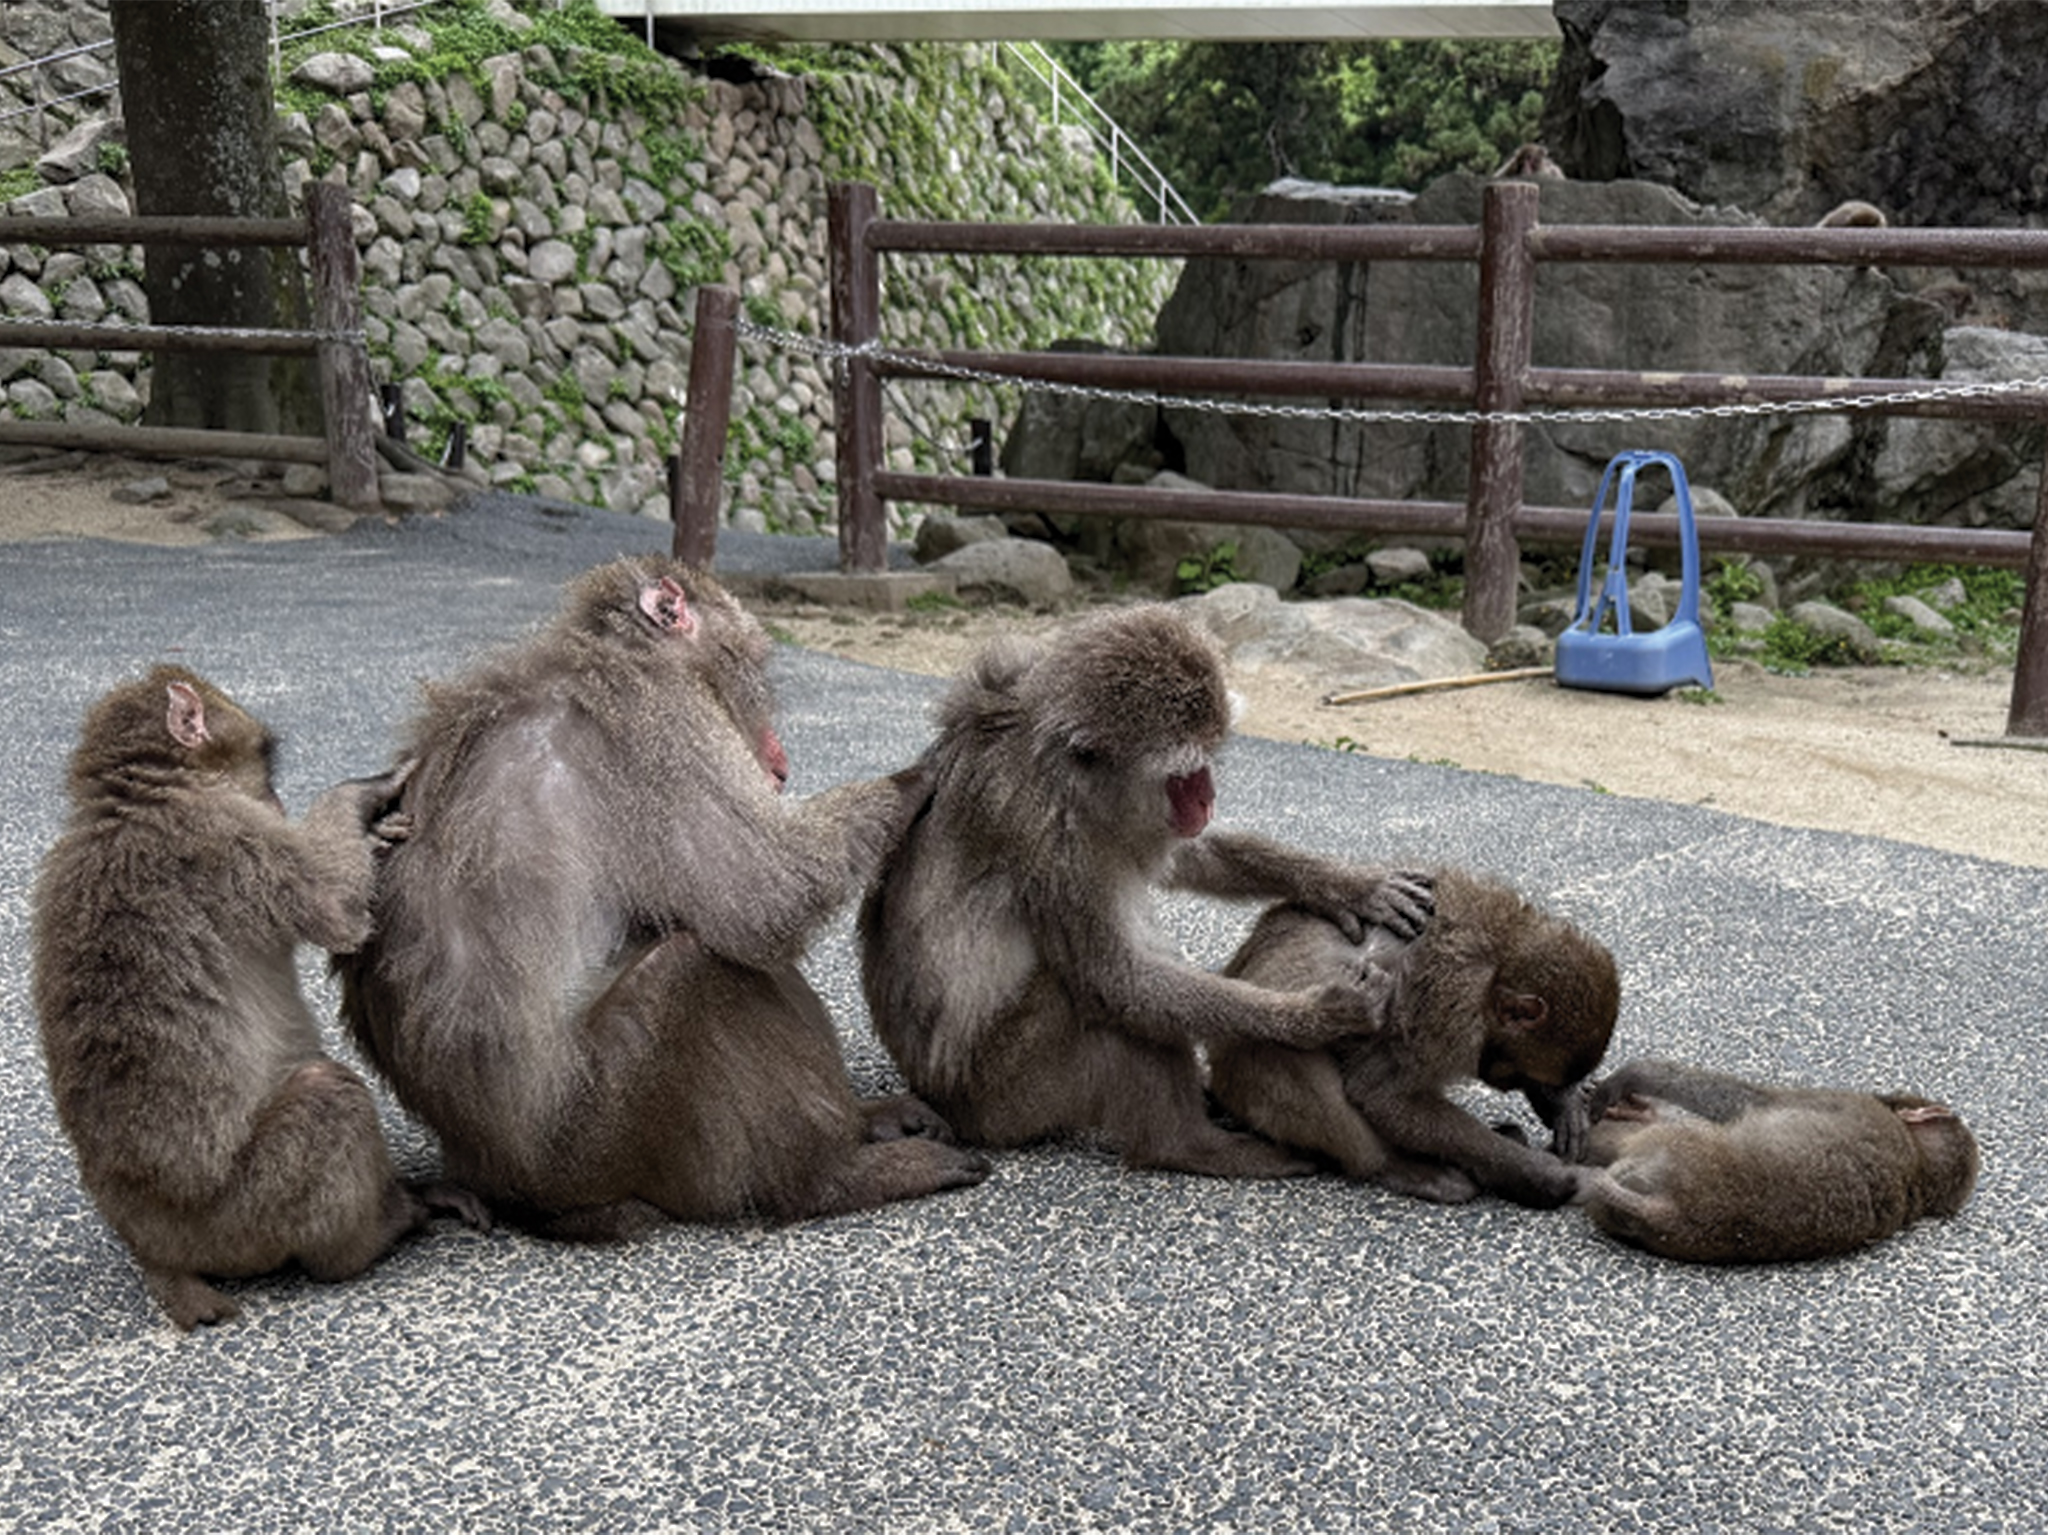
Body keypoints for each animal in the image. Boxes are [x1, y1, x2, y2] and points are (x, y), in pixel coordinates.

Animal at [31, 666, 483, 1331]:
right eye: (266, 760)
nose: (277, 802)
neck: (140, 803)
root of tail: (151, 1247)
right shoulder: (232, 840)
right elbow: (335, 913)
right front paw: (364, 796)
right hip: (246, 1215)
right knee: (328, 1096)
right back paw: (379, 1232)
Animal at [334, 556, 989, 1240]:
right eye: (754, 664)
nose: (780, 764)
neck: (608, 653)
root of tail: (504, 1184)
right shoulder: (661, 723)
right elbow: (766, 892)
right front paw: (922, 773)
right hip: (596, 1136)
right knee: (693, 968)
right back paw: (828, 1178)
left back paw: (863, 1125)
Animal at [857, 604, 1435, 1179]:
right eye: (1184, 776)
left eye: (1208, 762)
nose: (1206, 800)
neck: (1057, 772)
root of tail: (942, 1101)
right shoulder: (1045, 831)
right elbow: (1117, 981)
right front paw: (1313, 1018)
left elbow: (1187, 855)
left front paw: (1350, 885)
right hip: (1007, 1095)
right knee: (1097, 1002)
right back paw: (1189, 1146)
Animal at [1207, 868, 1620, 1208]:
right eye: (1518, 1073)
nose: (1505, 1082)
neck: (1495, 970)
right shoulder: (1448, 1013)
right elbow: (1384, 1095)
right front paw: (1542, 1177)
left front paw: (1563, 1103)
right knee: (1291, 1052)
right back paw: (1399, 1167)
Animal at [1569, 1058, 1980, 1264]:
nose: (1889, 1094)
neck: (1918, 1171)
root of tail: (1671, 1212)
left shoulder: (1837, 1102)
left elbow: (1747, 1099)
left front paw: (1634, 1076)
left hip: (1665, 1150)